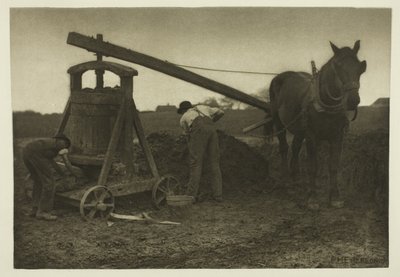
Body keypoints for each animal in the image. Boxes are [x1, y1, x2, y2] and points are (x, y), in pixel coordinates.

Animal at [266, 40, 366, 209]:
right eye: (338, 66)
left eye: (360, 67)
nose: (353, 100)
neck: (326, 103)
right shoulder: (312, 136)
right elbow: (313, 166)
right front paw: (312, 198)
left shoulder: (337, 137)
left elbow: (333, 166)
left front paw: (335, 197)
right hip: (279, 122)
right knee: (284, 148)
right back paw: (285, 182)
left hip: (299, 128)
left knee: (295, 148)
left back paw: (296, 181)